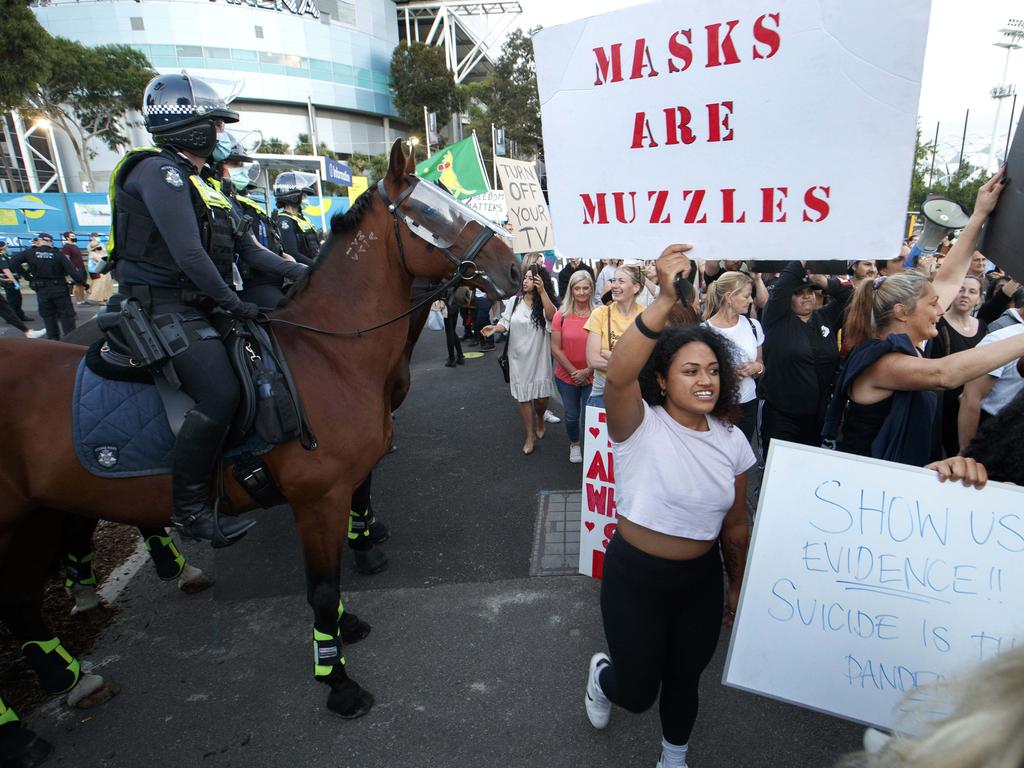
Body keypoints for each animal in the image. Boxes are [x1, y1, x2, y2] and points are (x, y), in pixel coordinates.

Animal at [0, 140, 520, 720]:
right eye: (432, 214)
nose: (516, 266)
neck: (327, 354)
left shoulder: (350, 472)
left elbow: (342, 551)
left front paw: (349, 609)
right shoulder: (318, 497)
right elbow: (322, 587)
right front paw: (337, 679)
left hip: (34, 514)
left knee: (19, 598)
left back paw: (72, 672)